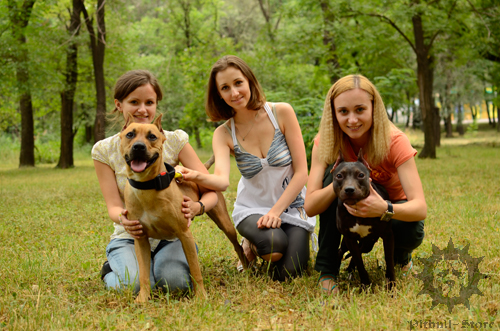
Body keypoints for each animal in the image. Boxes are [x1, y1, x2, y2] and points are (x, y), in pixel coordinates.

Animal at [119, 114, 248, 304]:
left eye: (152, 136)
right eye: (130, 134)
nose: (139, 146)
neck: (147, 187)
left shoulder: (185, 234)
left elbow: (195, 270)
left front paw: (201, 296)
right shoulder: (140, 239)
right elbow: (142, 274)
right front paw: (143, 298)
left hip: (224, 223)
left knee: (237, 245)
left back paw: (247, 266)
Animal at [330, 150, 396, 290]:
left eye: (360, 175)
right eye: (339, 175)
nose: (349, 189)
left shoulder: (388, 236)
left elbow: (389, 260)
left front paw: (391, 285)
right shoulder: (349, 238)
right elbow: (359, 262)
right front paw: (365, 285)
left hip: (368, 243)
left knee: (358, 251)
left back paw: (350, 271)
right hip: (350, 242)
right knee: (342, 251)